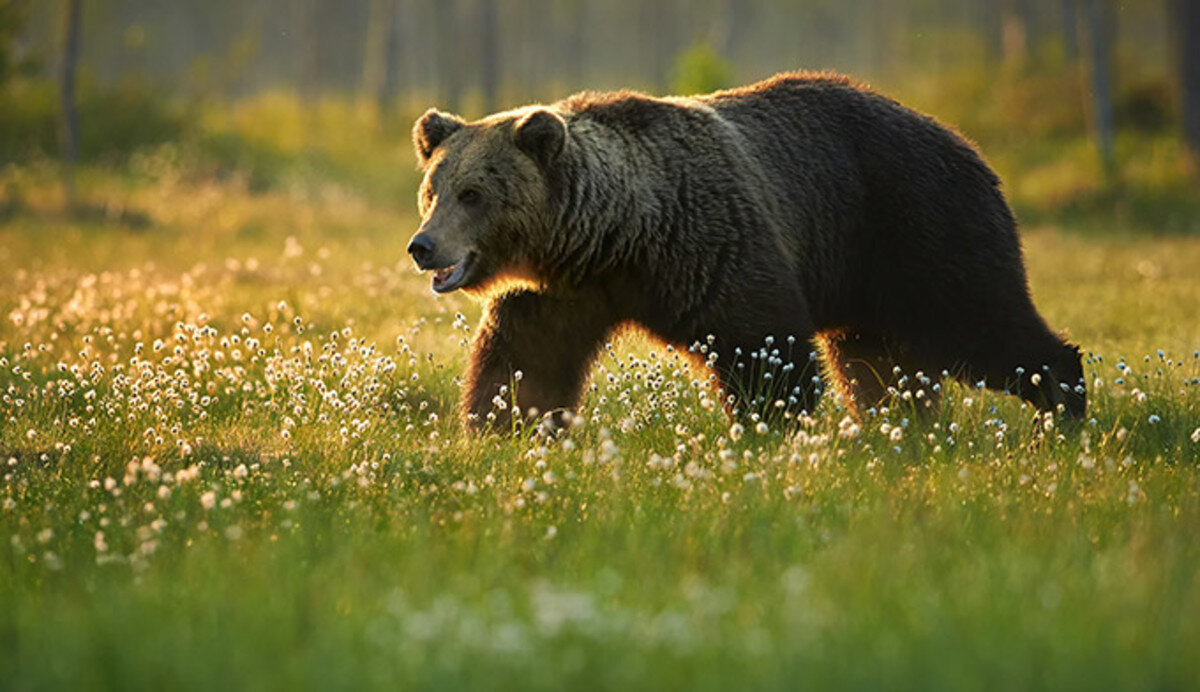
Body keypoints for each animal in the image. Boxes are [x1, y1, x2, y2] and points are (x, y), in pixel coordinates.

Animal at [405, 70, 1089, 426]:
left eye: (473, 193)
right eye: (432, 189)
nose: (423, 246)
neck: (614, 237)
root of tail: (968, 144)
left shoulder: (710, 243)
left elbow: (762, 345)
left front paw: (770, 428)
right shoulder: (558, 292)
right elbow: (524, 362)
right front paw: (504, 427)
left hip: (917, 226)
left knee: (981, 323)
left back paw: (1061, 411)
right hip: (869, 279)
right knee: (877, 365)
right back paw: (897, 431)